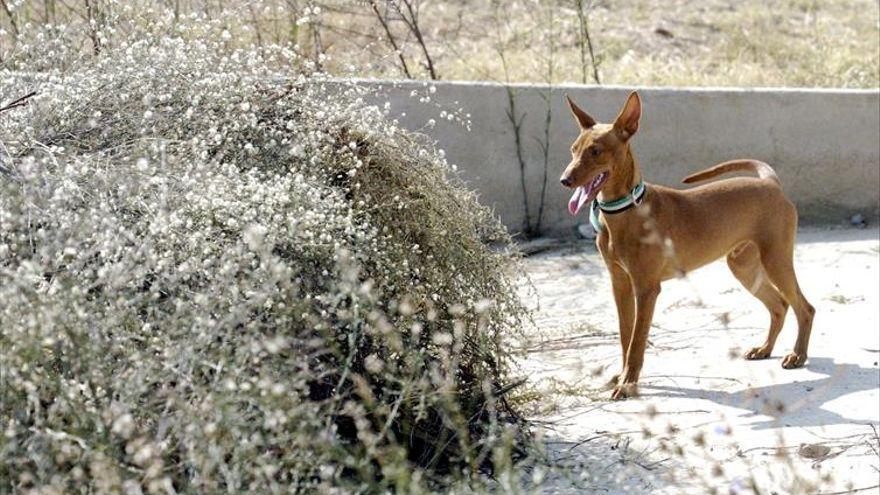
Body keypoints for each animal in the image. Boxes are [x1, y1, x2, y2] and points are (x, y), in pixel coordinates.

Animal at [560, 93, 816, 402]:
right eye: (574, 150)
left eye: (596, 151)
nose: (565, 180)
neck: (627, 211)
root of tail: (770, 183)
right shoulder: (619, 284)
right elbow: (625, 336)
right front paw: (621, 376)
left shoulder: (646, 289)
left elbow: (636, 342)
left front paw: (628, 383)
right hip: (743, 266)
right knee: (779, 305)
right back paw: (765, 348)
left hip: (776, 259)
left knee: (805, 308)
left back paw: (798, 355)